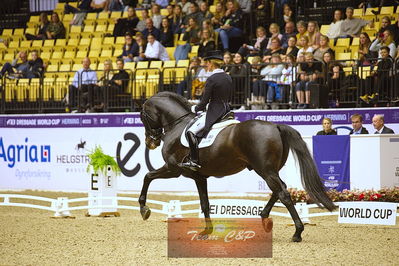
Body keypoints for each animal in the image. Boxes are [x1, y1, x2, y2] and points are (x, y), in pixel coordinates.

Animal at [139, 91, 336, 243]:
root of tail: (275, 126)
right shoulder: (199, 176)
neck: (177, 124)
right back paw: (265, 218)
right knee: (280, 190)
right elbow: (205, 204)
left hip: (265, 170)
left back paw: (297, 232)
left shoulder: (174, 169)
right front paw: (206, 232)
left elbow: (147, 176)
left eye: (143, 117)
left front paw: (144, 210)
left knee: (283, 194)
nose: (150, 142)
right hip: (269, 170)